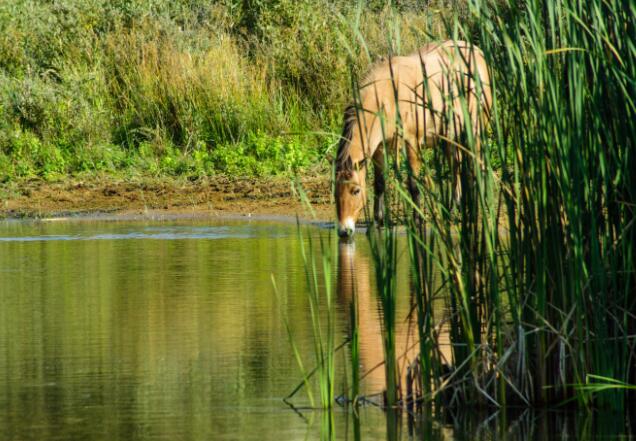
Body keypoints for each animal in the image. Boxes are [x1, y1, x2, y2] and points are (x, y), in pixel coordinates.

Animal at [332, 40, 492, 237]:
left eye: (355, 190)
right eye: (335, 192)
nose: (344, 231)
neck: (387, 95)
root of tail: (476, 51)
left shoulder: (412, 143)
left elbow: (413, 185)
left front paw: (418, 221)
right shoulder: (379, 148)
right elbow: (379, 184)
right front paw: (377, 222)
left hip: (475, 131)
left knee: (478, 164)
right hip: (449, 138)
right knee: (456, 166)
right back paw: (454, 208)